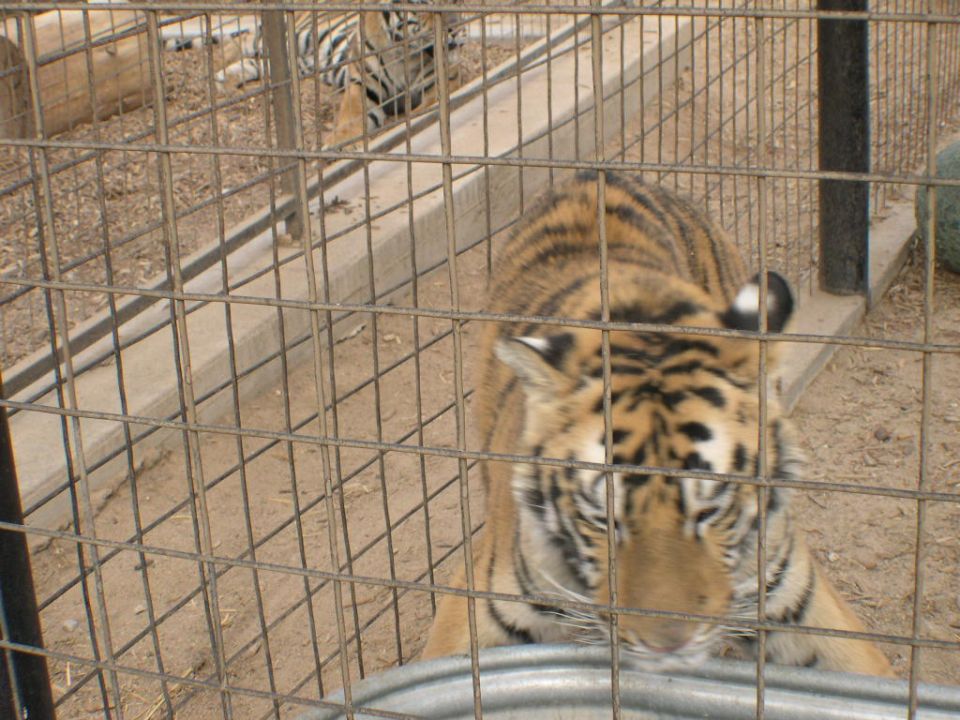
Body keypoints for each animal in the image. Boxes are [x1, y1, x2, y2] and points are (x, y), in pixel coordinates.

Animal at [160, 2, 464, 147]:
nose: (455, 29)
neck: (405, 53)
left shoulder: (440, 84)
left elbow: (431, 105)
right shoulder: (361, 88)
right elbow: (349, 121)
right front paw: (335, 145)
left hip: (294, 62)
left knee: (255, 63)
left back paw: (227, 79)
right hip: (290, 37)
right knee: (242, 41)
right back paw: (217, 70)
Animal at [420, 171, 894, 677]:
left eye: (711, 510)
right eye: (603, 519)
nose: (668, 644)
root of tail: (599, 174)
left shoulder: (793, 590)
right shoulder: (481, 597)